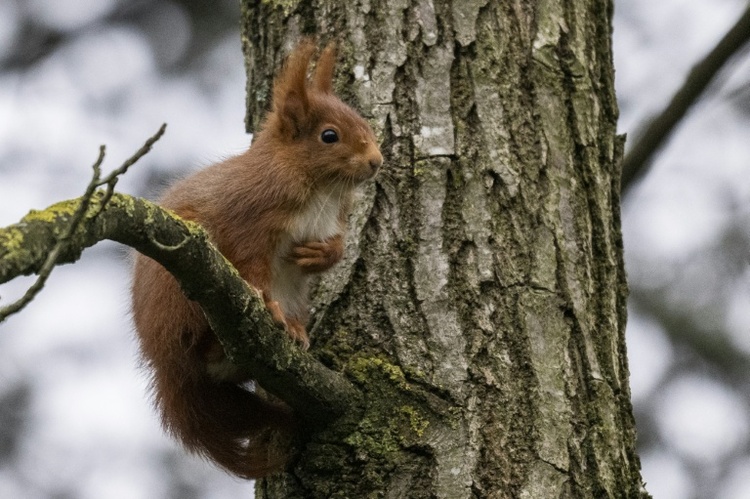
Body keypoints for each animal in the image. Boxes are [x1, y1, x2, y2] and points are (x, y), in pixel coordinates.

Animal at [130, 40, 383, 479]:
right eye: (329, 136)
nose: (377, 161)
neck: (321, 188)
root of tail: (166, 369)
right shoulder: (250, 220)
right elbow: (252, 267)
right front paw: (269, 306)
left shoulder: (335, 218)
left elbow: (336, 246)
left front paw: (321, 254)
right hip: (179, 294)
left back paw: (296, 332)